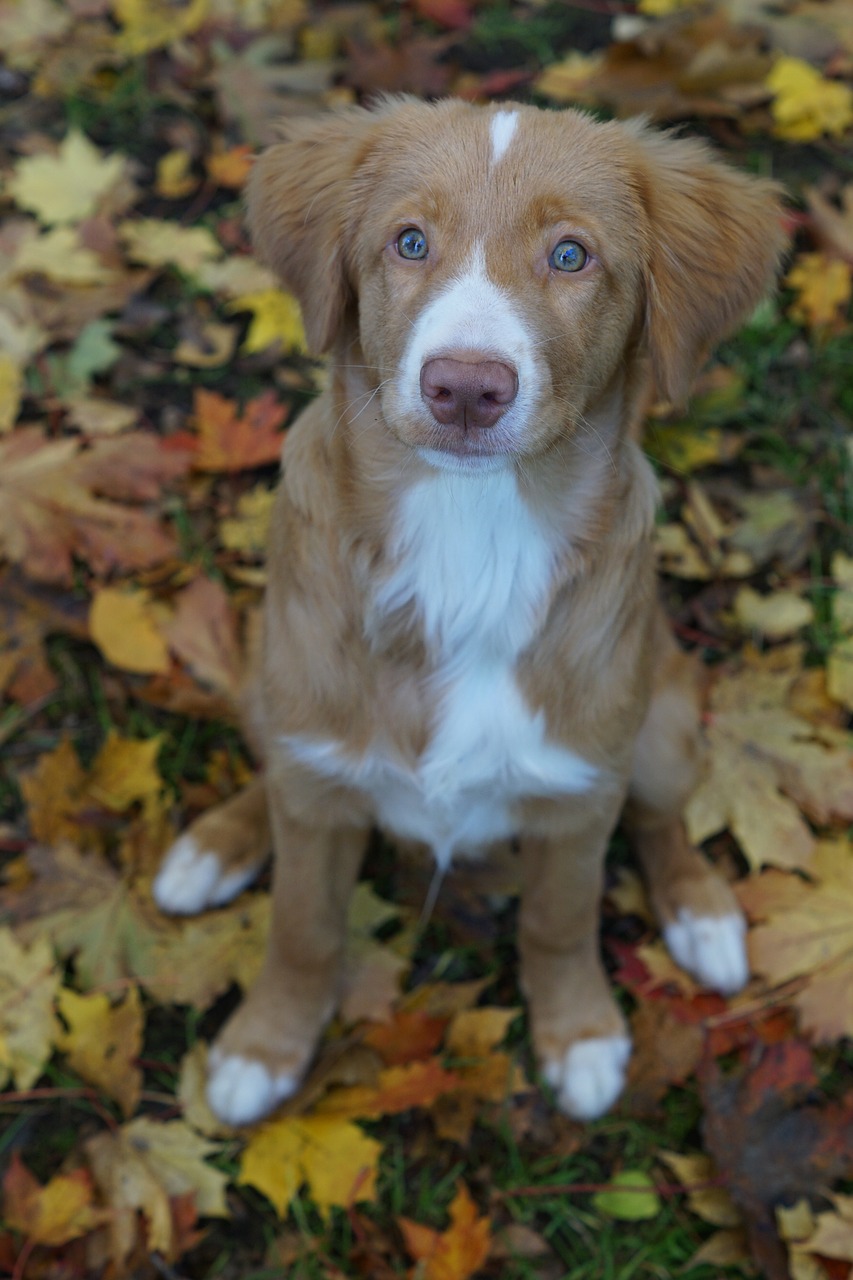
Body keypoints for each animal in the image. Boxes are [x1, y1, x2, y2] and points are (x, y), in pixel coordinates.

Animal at [151, 97, 778, 1131]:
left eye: (571, 256)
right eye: (408, 241)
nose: (467, 389)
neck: (466, 541)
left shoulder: (577, 792)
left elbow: (560, 922)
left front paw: (579, 1034)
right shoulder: (316, 777)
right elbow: (304, 927)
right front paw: (265, 1047)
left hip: (660, 721)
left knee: (659, 820)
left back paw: (702, 914)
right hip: (270, 676)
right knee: (275, 768)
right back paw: (214, 846)